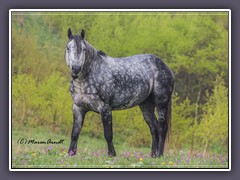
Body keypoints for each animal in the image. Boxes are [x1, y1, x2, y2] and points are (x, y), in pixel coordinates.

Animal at [65, 28, 174, 158]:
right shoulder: (78, 108)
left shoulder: (105, 109)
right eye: (68, 48)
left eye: (84, 49)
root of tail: (166, 67)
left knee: (162, 127)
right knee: (154, 128)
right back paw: (153, 155)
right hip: (146, 105)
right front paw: (70, 154)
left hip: (161, 103)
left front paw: (112, 154)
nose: (76, 69)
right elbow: (75, 133)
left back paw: (159, 155)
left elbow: (108, 135)